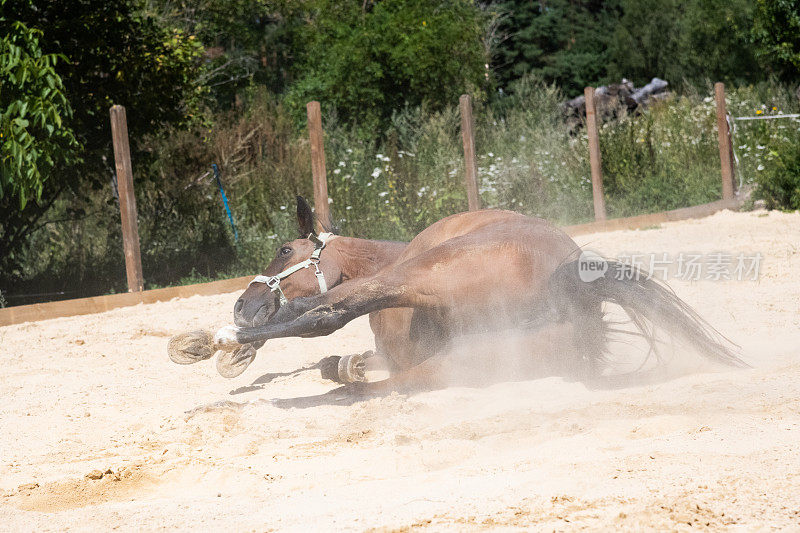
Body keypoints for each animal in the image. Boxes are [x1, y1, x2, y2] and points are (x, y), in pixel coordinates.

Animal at [214, 197, 744, 402]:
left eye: (285, 251)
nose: (243, 304)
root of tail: (572, 289)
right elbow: (350, 365)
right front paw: (344, 365)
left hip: (428, 280)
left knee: (329, 315)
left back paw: (227, 338)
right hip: (465, 363)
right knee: (386, 387)